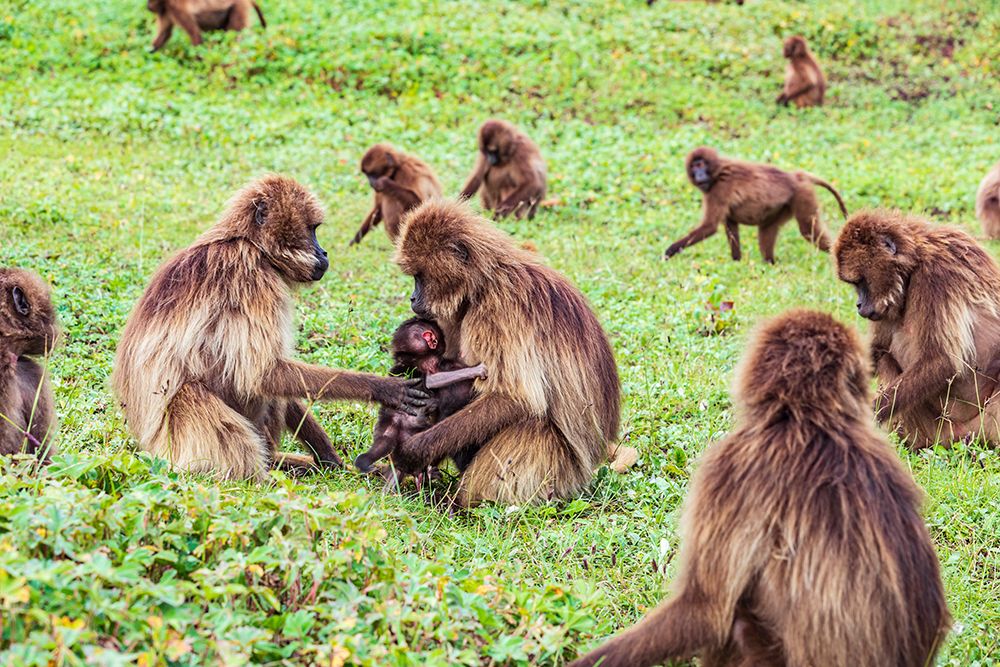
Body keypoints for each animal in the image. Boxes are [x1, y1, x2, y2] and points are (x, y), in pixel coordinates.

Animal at [112, 175, 430, 481]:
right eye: (312, 230)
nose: (324, 253)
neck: (249, 244)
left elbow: (272, 375)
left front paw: (330, 459)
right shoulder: (251, 278)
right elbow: (260, 372)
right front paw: (381, 388)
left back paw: (277, 462)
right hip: (177, 441)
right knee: (198, 394)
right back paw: (261, 477)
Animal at [354, 317, 487, 474]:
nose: (443, 344)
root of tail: (395, 422)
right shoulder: (429, 363)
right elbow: (431, 380)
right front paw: (476, 370)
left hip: (392, 432)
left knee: (383, 445)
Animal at [391, 199, 620, 507]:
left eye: (419, 276)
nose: (413, 298)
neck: (483, 283)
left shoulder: (499, 310)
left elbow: (515, 397)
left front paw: (413, 451)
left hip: (556, 468)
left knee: (530, 425)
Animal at [665, 146, 848, 263]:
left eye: (701, 164)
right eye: (694, 166)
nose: (699, 175)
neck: (717, 172)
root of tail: (796, 176)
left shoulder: (718, 190)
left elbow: (710, 227)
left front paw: (670, 251)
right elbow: (731, 224)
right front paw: (736, 261)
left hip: (802, 195)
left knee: (808, 230)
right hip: (785, 205)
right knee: (767, 228)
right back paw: (769, 262)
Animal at [835, 208, 1000, 448]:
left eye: (860, 282)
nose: (859, 305)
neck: (917, 257)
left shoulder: (934, 277)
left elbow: (942, 361)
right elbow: (877, 347)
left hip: (960, 427)